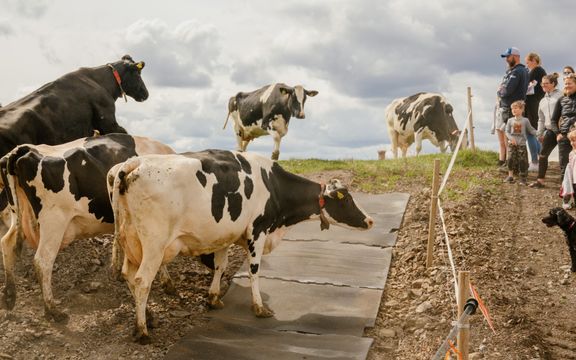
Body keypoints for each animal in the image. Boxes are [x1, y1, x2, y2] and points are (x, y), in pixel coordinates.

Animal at [0, 134, 176, 322]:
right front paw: (167, 283)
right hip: (54, 222)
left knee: (7, 243)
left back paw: (9, 296)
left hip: (17, 214)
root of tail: (24, 148)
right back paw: (53, 310)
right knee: (42, 261)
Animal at [108, 149, 374, 344]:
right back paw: (142, 331)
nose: (371, 220)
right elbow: (254, 271)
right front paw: (259, 307)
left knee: (129, 276)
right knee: (142, 280)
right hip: (154, 243)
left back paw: (148, 318)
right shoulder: (258, 230)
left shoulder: (225, 233)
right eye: (347, 200)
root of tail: (133, 163)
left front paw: (213, 298)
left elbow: (220, 265)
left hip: (130, 241)